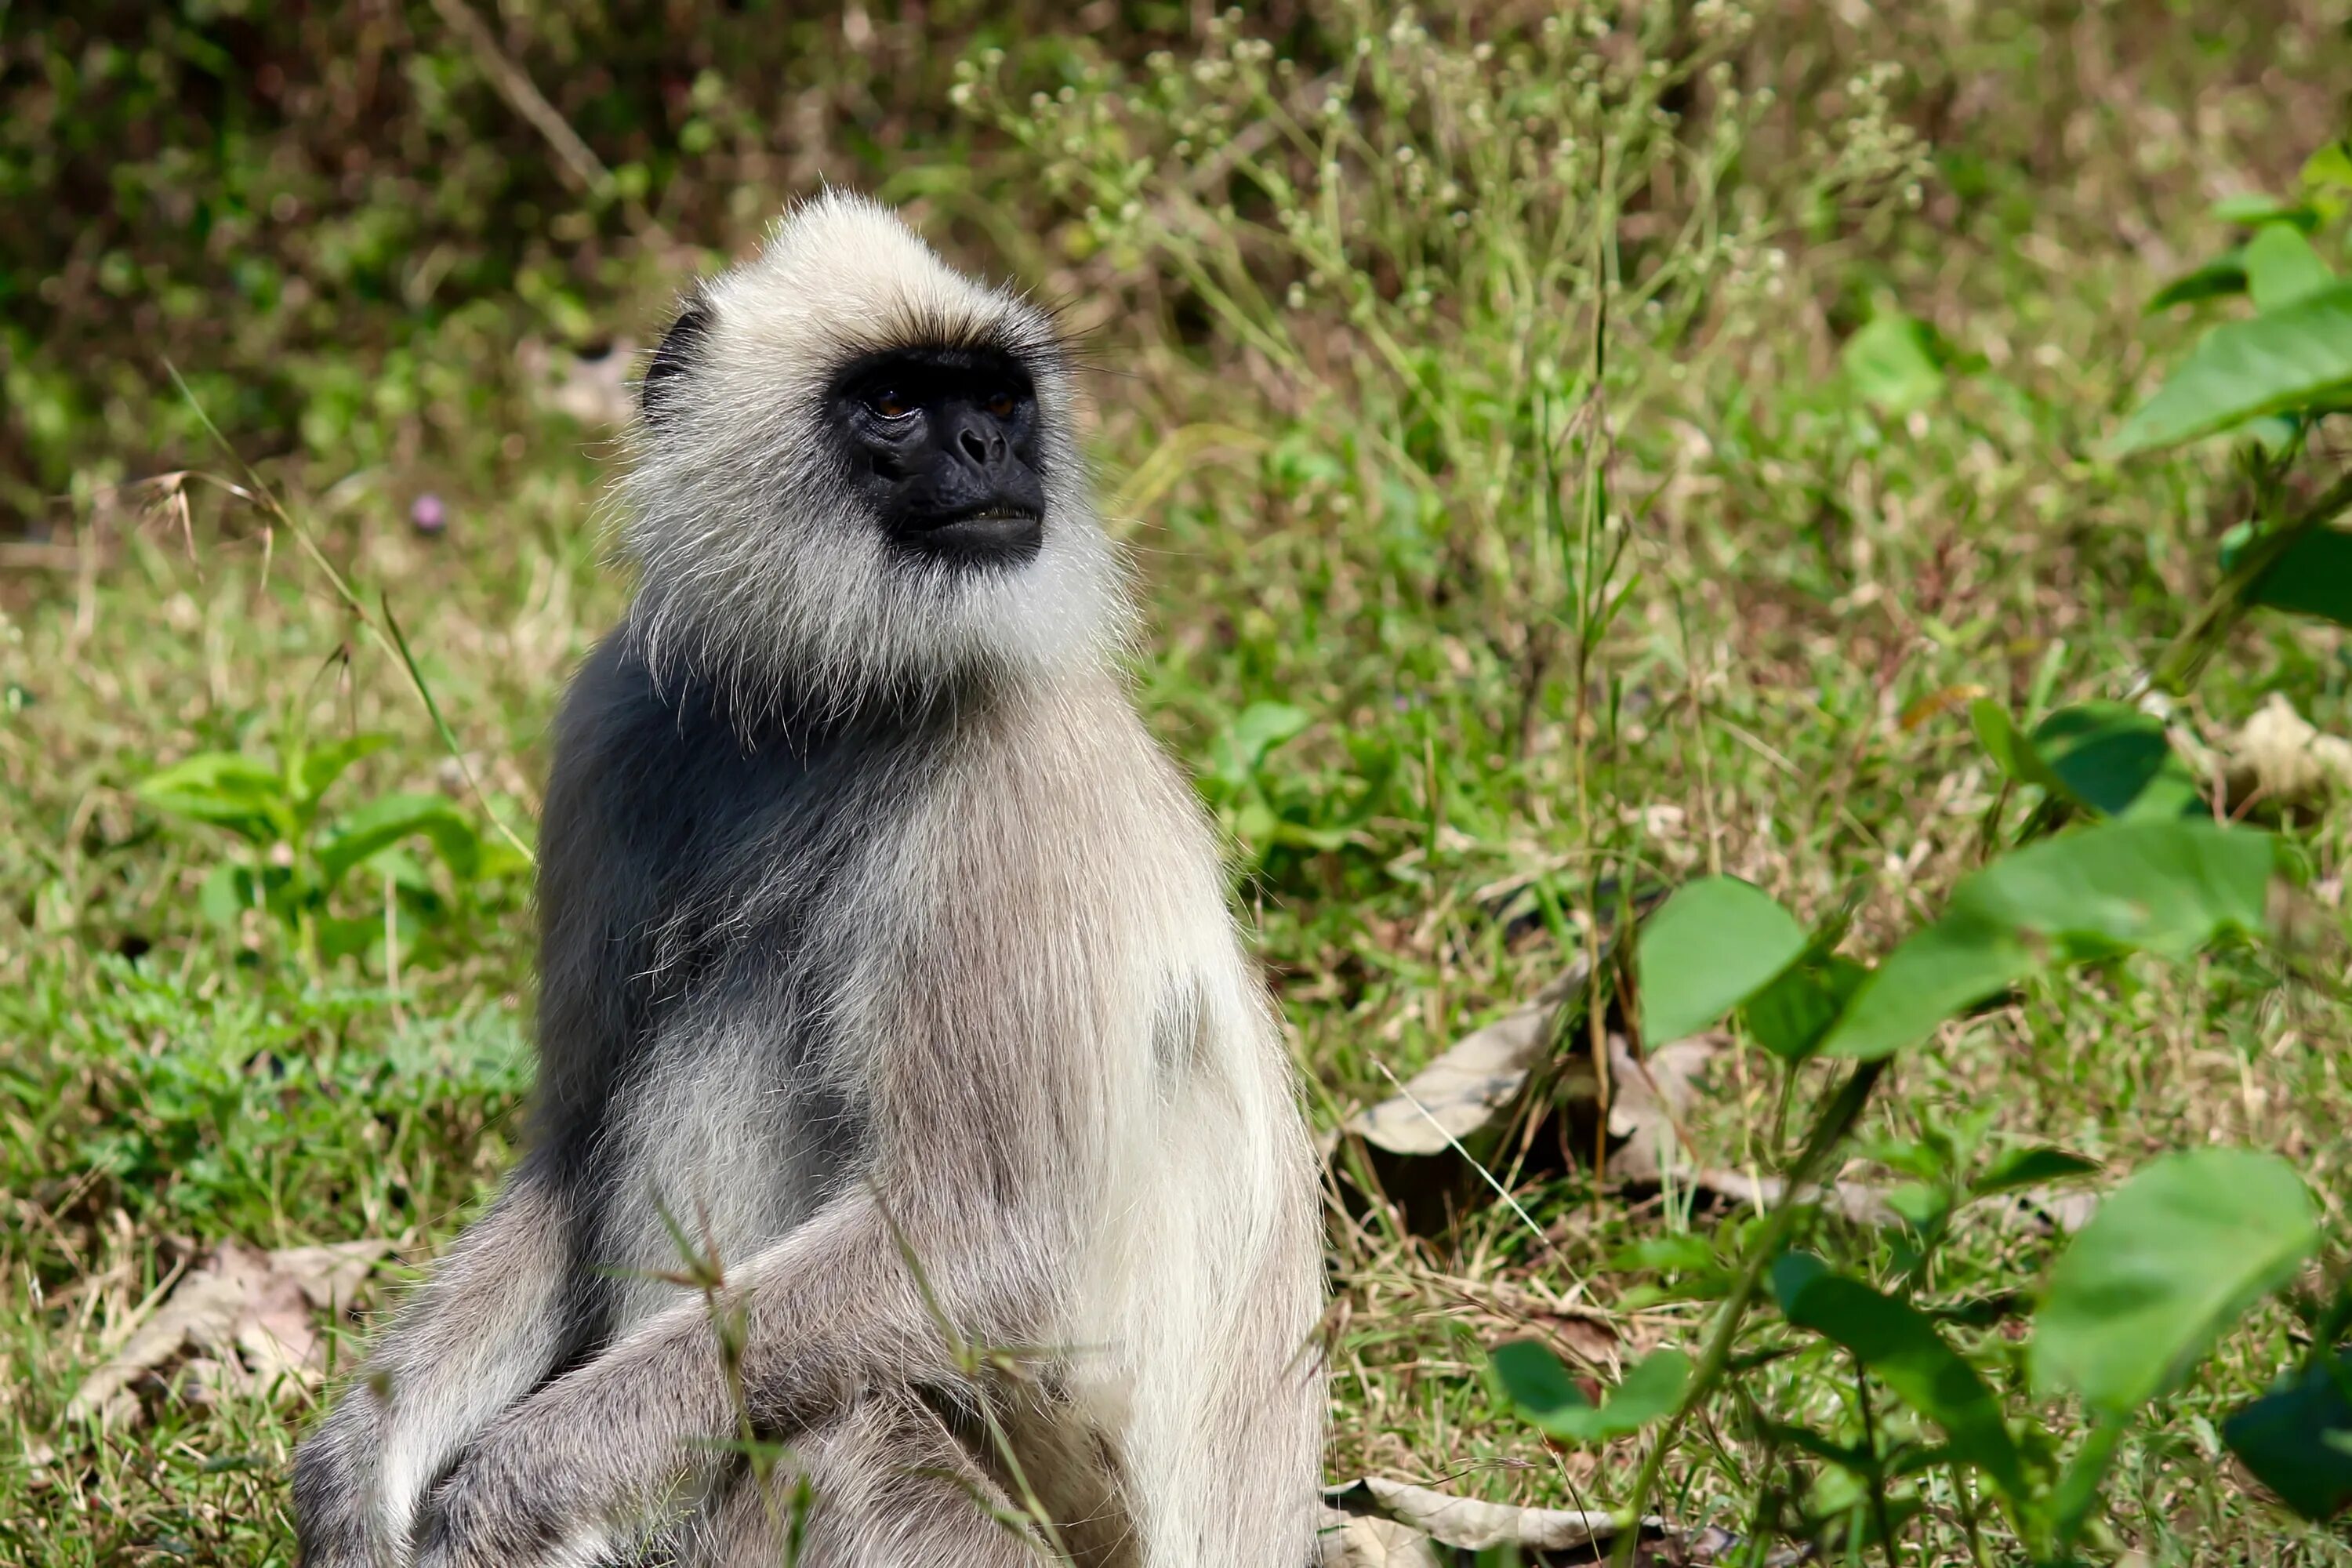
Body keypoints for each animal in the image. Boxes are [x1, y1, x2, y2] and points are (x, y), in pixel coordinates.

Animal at [280, 190, 1327, 1561]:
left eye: (998, 398)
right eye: (895, 403)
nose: (990, 448)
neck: (839, 702)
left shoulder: (1018, 771)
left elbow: (978, 1247)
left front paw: (513, 1491)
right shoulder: (619, 717)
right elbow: (569, 1158)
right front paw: (358, 1476)